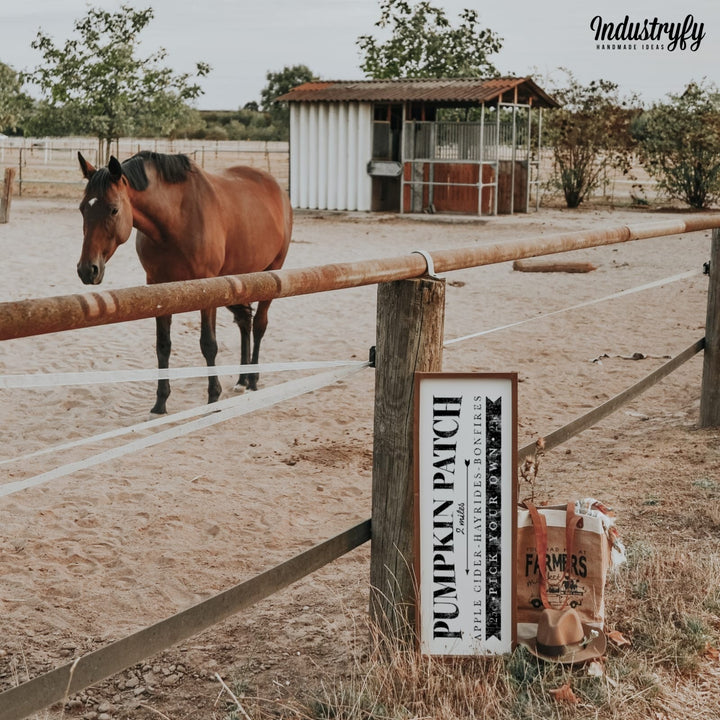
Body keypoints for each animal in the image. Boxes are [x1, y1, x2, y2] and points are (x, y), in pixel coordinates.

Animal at [77, 149, 292, 414]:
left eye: (114, 209)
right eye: (82, 209)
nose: (88, 269)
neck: (176, 218)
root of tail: (277, 189)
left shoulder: (208, 287)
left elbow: (208, 344)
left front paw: (213, 398)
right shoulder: (158, 287)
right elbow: (163, 345)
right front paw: (160, 403)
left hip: (272, 272)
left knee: (260, 324)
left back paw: (252, 380)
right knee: (245, 322)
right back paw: (242, 380)